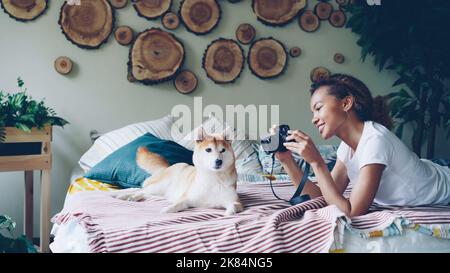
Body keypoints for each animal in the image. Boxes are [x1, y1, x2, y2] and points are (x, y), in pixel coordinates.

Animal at [114, 127, 244, 215]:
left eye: (222, 150)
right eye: (208, 150)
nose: (218, 161)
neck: (214, 179)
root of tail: (170, 167)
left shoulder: (235, 201)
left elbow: (234, 206)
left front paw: (229, 212)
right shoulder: (186, 198)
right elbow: (177, 204)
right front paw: (167, 209)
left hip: (160, 193)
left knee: (146, 193)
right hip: (160, 186)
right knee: (141, 190)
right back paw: (125, 195)